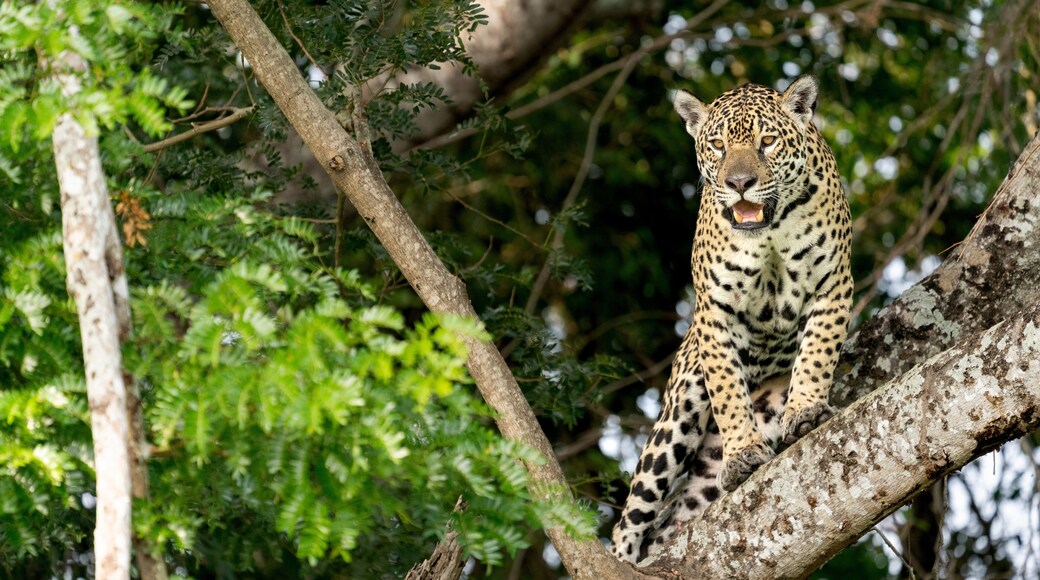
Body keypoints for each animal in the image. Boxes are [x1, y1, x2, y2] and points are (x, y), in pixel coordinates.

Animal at [610, 76, 853, 565]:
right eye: (718, 145)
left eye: (767, 141)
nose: (740, 183)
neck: (770, 233)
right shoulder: (714, 314)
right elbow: (726, 390)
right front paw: (742, 452)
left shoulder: (833, 284)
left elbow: (816, 355)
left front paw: (805, 411)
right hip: (678, 411)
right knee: (631, 517)